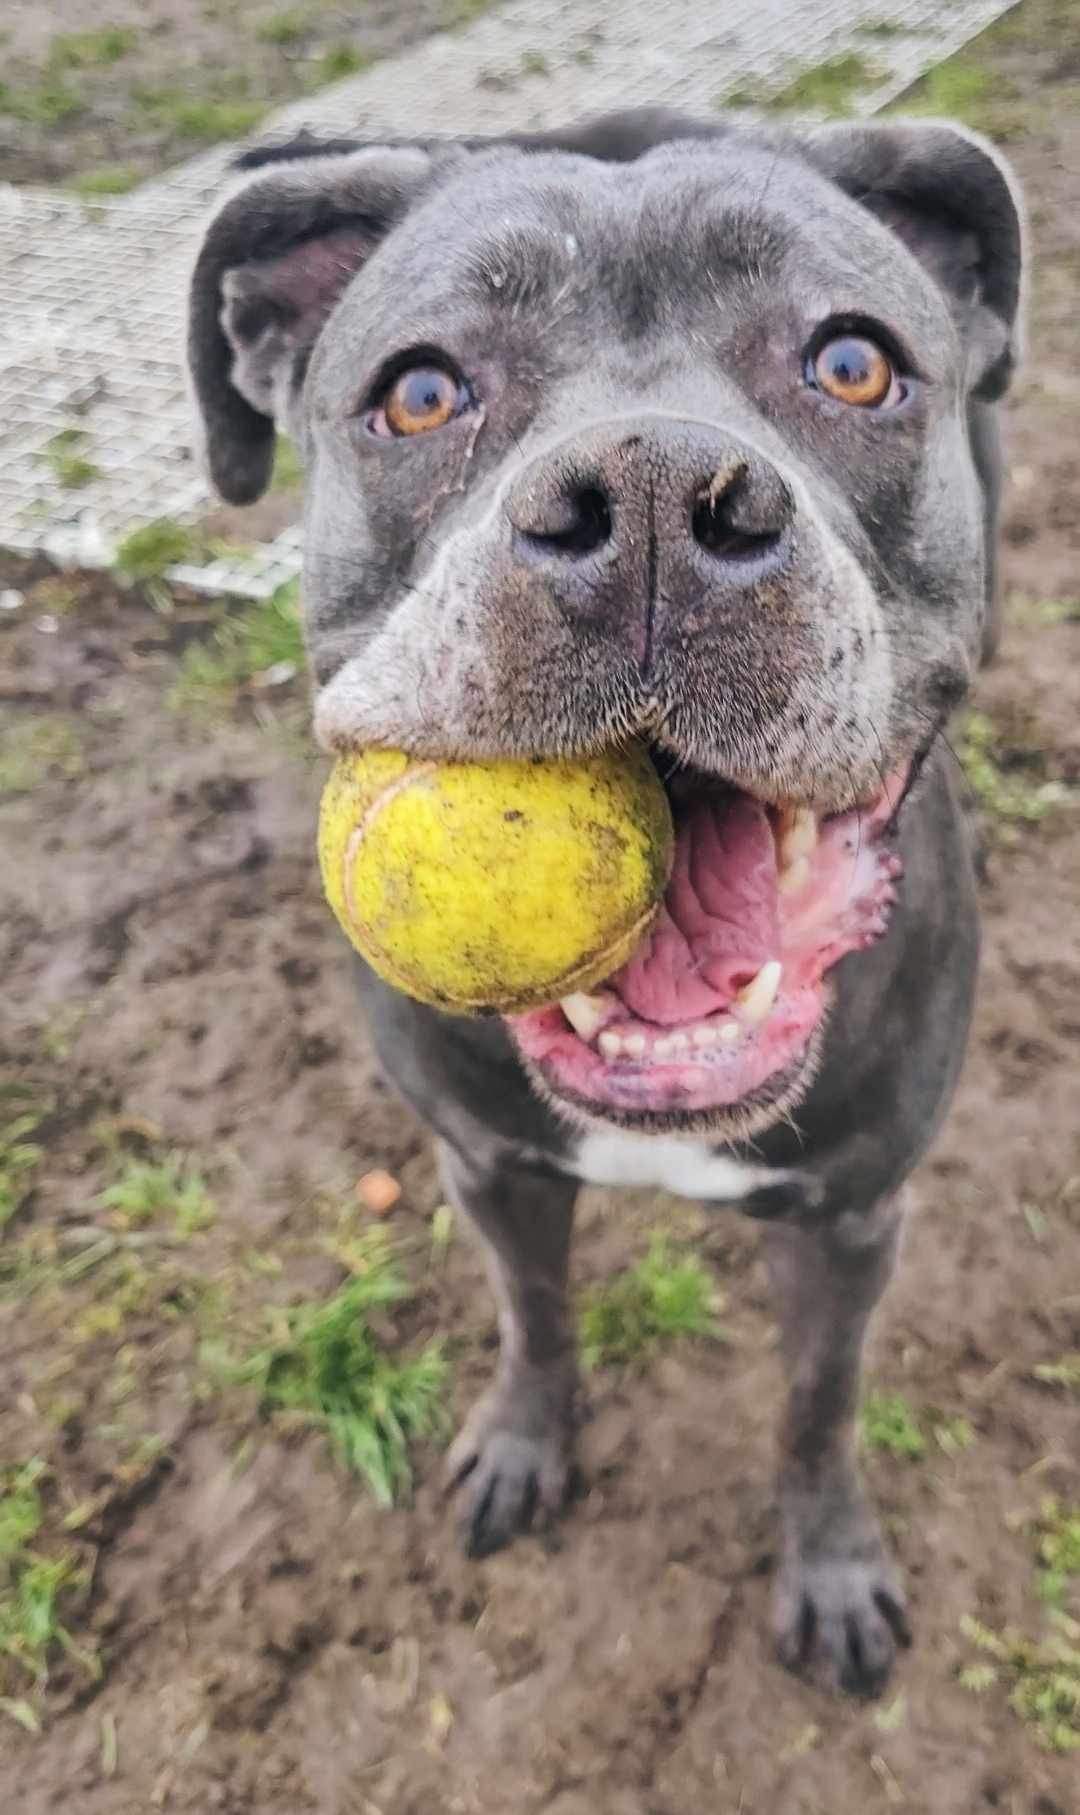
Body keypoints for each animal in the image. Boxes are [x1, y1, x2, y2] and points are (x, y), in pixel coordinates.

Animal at [184, 106, 1023, 1691]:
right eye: (421, 392)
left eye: (853, 363)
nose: (648, 497)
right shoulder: (488, 1167)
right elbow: (535, 1314)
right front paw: (525, 1444)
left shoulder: (854, 1220)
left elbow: (817, 1403)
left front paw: (830, 1567)